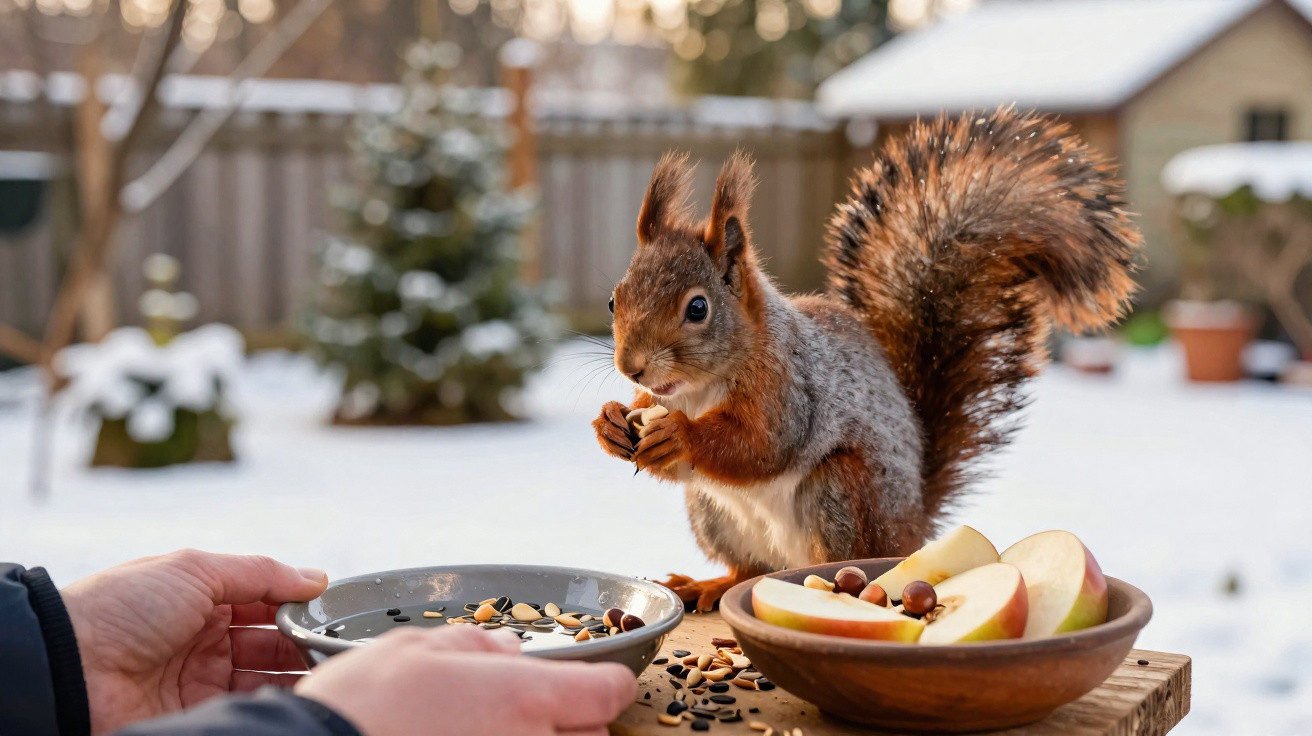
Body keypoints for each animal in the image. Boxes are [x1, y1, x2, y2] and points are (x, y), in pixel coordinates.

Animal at [592, 107, 1142, 611]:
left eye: (698, 308)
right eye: (615, 301)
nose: (631, 367)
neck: (698, 389)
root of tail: (914, 527)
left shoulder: (787, 387)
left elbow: (759, 446)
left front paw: (679, 435)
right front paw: (611, 422)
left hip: (840, 494)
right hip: (712, 513)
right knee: (746, 569)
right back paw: (710, 585)